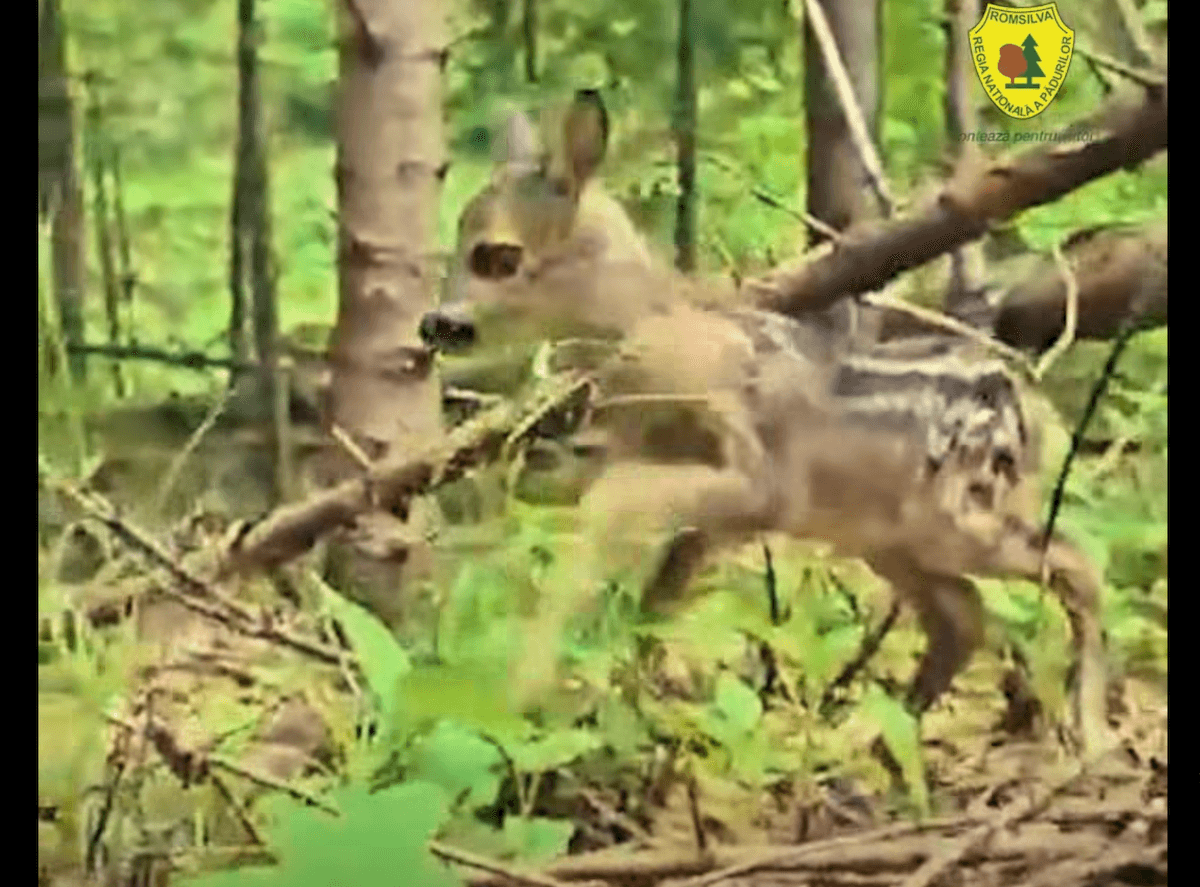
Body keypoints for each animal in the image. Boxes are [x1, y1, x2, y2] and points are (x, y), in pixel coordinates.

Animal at [419, 90, 1110, 757]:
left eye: (499, 256)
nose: (435, 323)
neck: (657, 337)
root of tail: (1043, 420)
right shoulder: (695, 493)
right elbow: (655, 592)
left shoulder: (757, 474)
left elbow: (615, 510)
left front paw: (524, 693)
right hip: (887, 537)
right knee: (963, 615)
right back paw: (866, 740)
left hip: (963, 512)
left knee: (1076, 565)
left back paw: (1089, 727)